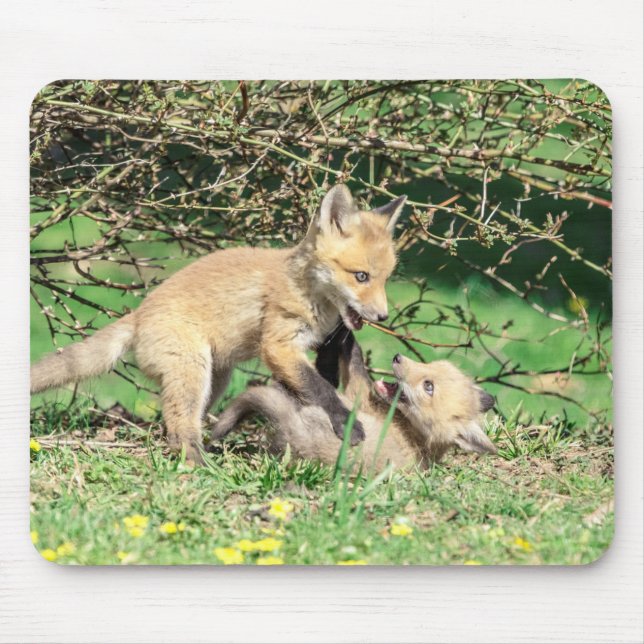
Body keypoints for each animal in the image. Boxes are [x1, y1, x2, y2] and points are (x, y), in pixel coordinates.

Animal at [31, 185, 407, 463]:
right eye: (361, 276)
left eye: (386, 279)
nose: (383, 317)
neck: (309, 293)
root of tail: (139, 314)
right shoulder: (279, 345)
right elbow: (320, 389)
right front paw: (346, 424)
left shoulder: (322, 344)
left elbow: (319, 383)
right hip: (193, 370)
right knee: (179, 426)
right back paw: (198, 462)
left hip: (215, 378)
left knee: (177, 423)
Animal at [209, 330, 497, 470]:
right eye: (430, 366)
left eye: (429, 387)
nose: (397, 357)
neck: (417, 438)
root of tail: (294, 432)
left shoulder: (359, 395)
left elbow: (355, 360)